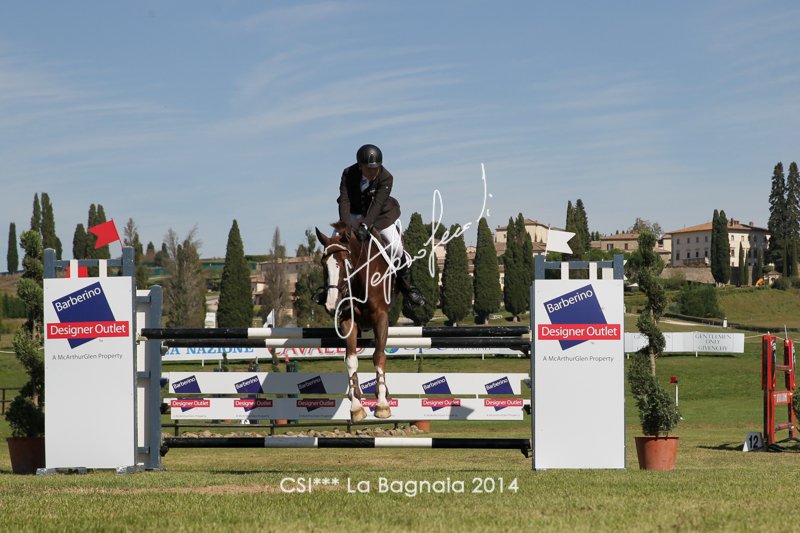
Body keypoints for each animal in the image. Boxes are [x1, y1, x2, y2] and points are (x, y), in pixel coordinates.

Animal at [315, 222, 395, 422]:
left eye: (345, 262)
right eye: (323, 264)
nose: (331, 304)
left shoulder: (381, 317)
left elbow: (379, 356)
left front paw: (382, 404)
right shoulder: (347, 320)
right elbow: (351, 360)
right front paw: (356, 407)